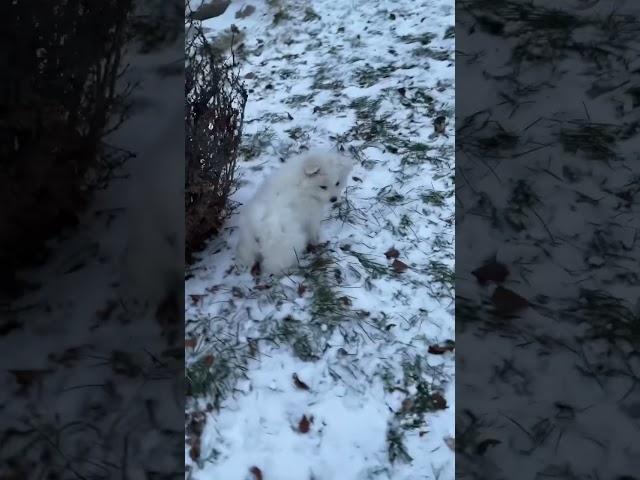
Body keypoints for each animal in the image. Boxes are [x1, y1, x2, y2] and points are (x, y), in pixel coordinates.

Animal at [236, 150, 356, 278]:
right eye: (323, 187)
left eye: (337, 183)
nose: (333, 199)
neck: (304, 185)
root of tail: (257, 230)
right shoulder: (312, 216)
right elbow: (313, 233)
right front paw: (316, 244)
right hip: (288, 246)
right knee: (274, 267)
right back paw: (291, 271)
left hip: (248, 247)